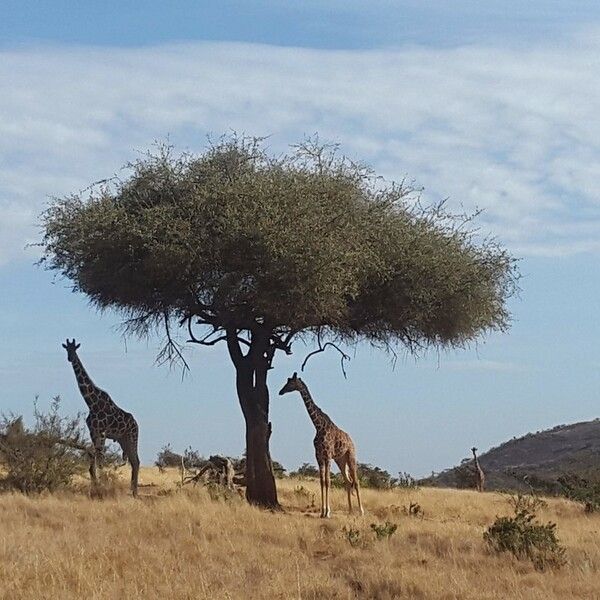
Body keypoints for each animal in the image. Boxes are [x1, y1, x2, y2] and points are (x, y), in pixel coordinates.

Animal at [62, 338, 141, 496]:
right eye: (67, 349)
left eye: (75, 349)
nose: (70, 358)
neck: (91, 403)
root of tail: (136, 423)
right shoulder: (93, 432)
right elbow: (93, 462)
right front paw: (95, 486)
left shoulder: (102, 432)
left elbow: (100, 460)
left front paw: (103, 486)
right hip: (123, 439)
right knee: (133, 461)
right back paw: (132, 490)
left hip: (132, 436)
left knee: (136, 461)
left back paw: (135, 492)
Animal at [278, 370, 364, 516]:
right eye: (287, 381)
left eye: (291, 382)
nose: (280, 391)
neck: (318, 426)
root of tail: (351, 440)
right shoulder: (318, 456)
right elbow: (322, 482)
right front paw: (322, 512)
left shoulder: (327, 455)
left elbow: (328, 481)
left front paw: (328, 512)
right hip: (340, 460)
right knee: (348, 482)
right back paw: (350, 510)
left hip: (351, 456)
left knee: (356, 481)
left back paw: (361, 511)